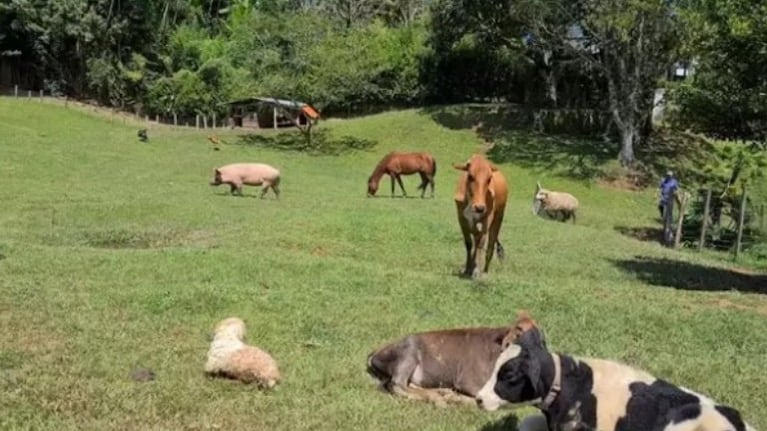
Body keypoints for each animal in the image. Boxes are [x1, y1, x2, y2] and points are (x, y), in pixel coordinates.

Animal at [366, 312, 540, 406]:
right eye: (520, 331)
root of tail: (376, 350)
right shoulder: (469, 381)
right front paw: (454, 398)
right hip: (408, 354)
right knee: (397, 384)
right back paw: (438, 399)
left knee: (411, 384)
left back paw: (441, 392)